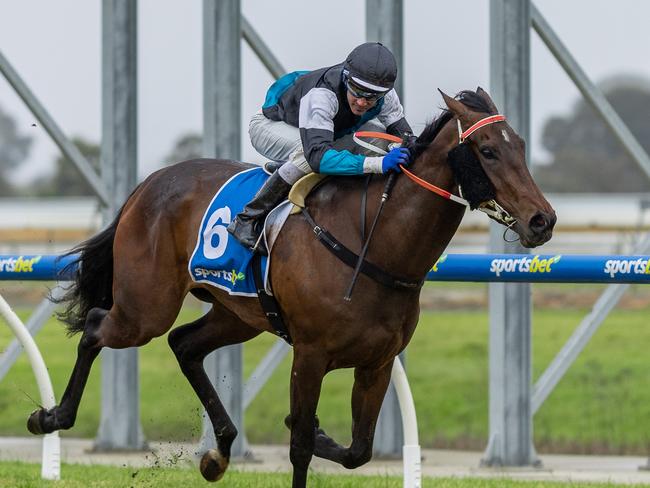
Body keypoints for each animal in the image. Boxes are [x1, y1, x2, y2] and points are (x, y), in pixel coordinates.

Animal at [26, 89, 552, 486]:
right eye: (487, 150)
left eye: (522, 146)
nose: (542, 220)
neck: (374, 241)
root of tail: (146, 185)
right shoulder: (311, 355)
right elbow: (298, 445)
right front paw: (306, 431)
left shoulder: (378, 362)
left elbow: (358, 450)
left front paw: (322, 434)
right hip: (145, 308)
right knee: (99, 327)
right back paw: (51, 417)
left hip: (237, 314)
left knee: (184, 344)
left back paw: (218, 452)